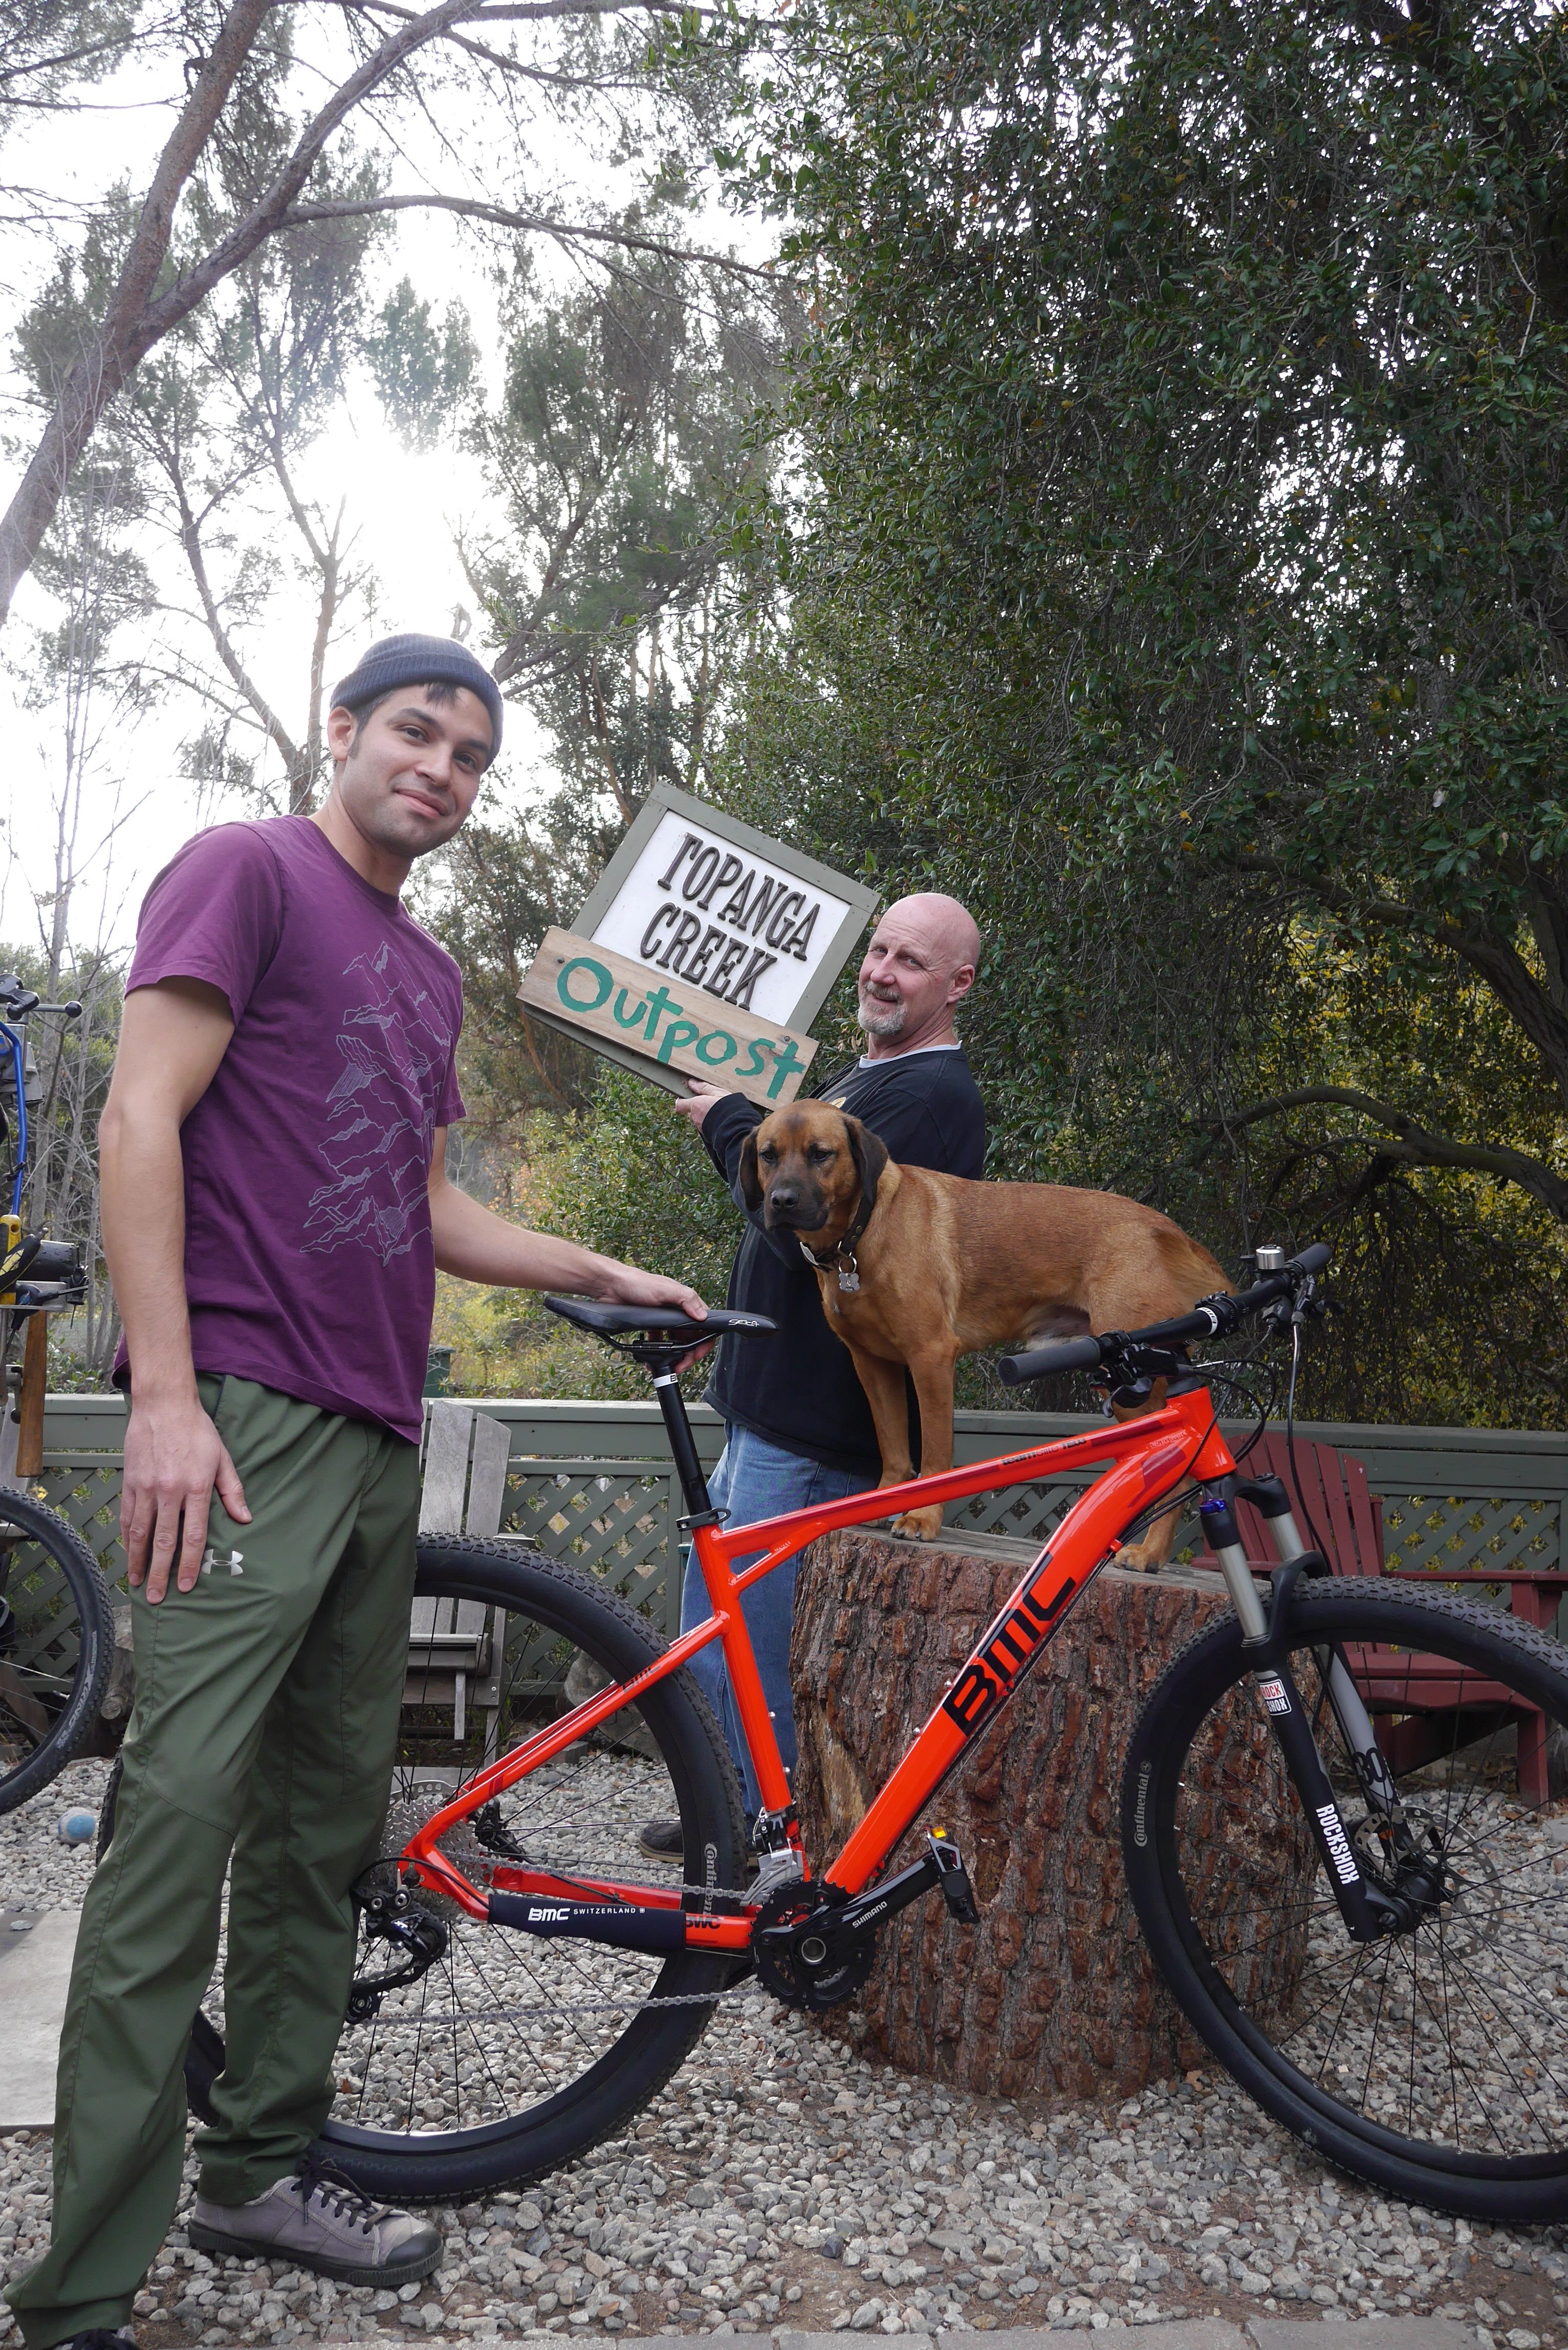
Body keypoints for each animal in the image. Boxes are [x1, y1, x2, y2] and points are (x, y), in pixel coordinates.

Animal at [743, 1100, 1232, 1560]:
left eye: (821, 1154)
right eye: (769, 1155)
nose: (782, 1201)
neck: (860, 1235)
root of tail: (1162, 1231)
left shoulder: (931, 1356)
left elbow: (935, 1457)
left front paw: (921, 1518)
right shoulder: (872, 1363)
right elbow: (895, 1449)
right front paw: (884, 1502)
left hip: (1136, 1381)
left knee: (1181, 1475)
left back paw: (1149, 1554)